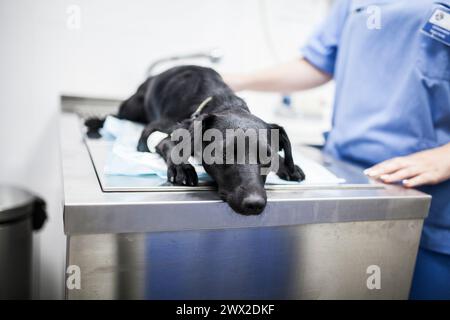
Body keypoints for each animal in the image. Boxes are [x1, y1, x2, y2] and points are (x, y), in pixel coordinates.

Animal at [86, 65, 304, 215]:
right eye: (223, 153)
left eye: (268, 158)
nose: (255, 204)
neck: (222, 101)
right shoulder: (153, 132)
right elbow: (170, 145)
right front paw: (182, 167)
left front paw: (289, 165)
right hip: (132, 108)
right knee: (113, 115)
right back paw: (94, 123)